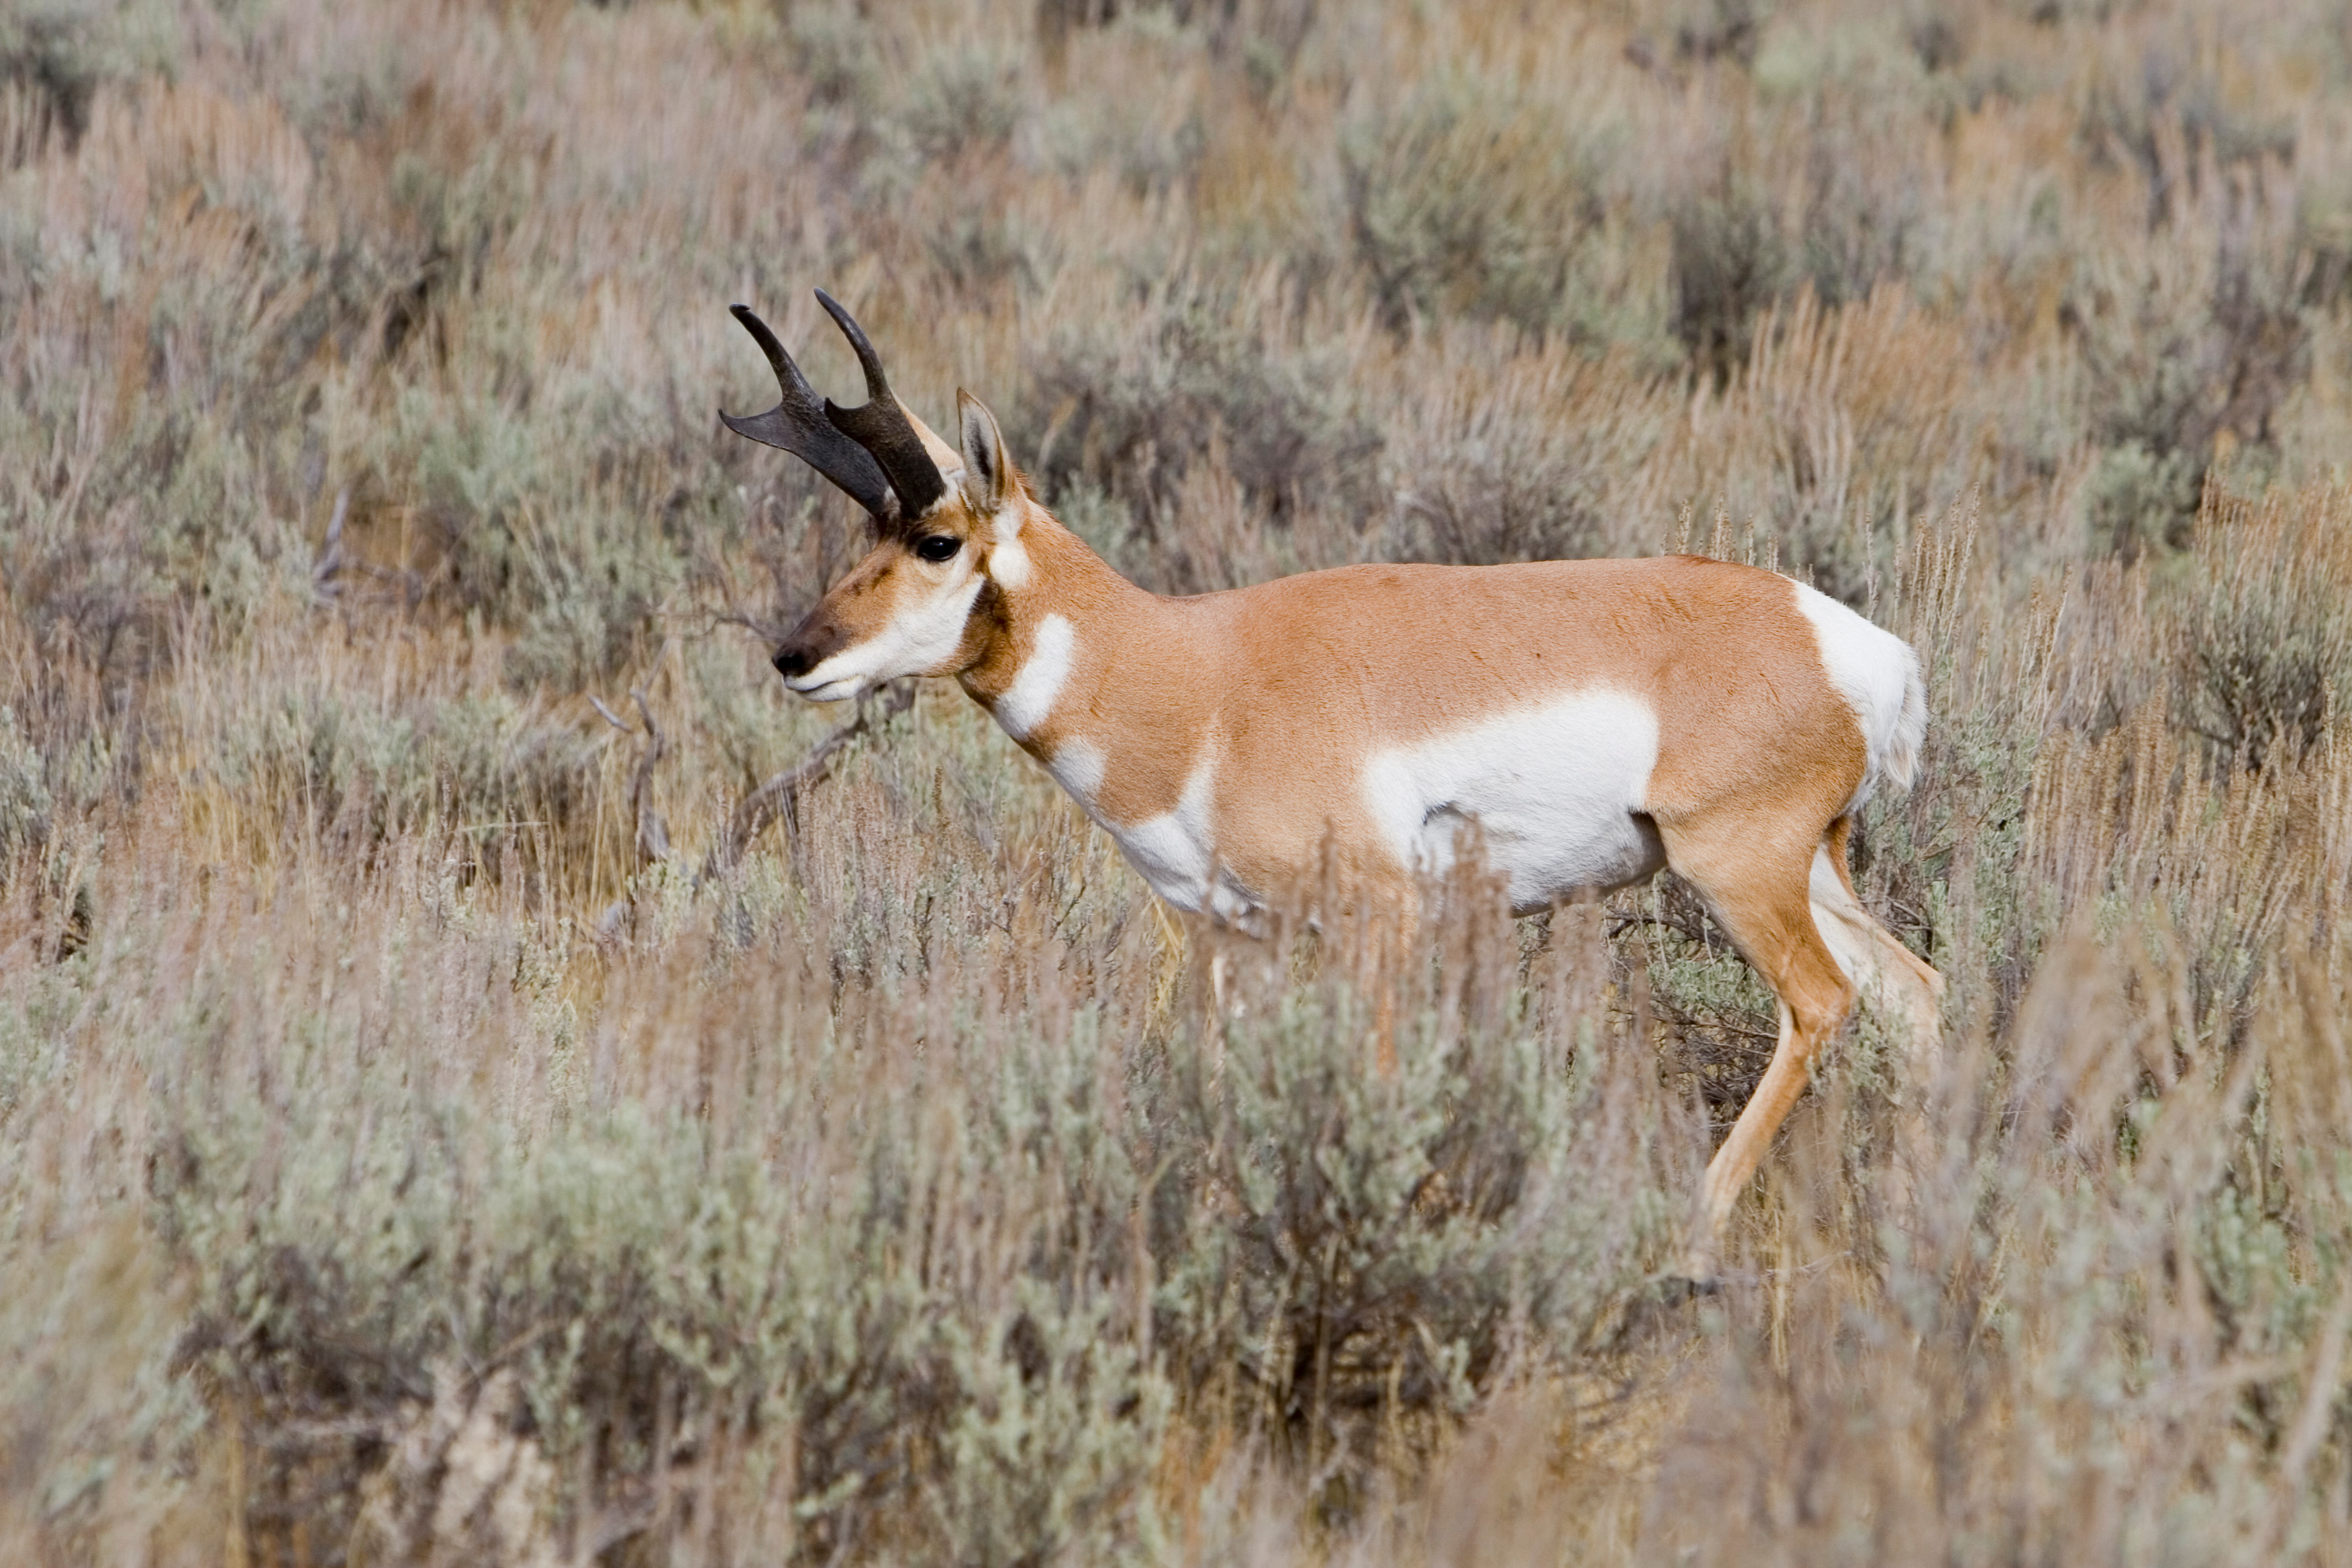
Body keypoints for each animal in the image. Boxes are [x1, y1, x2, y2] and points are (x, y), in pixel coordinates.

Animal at [720, 292, 1944, 1283]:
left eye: (936, 539)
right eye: (861, 530)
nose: (794, 655)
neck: (1194, 672)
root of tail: (1847, 641)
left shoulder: (1380, 921)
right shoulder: (1231, 938)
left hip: (1734, 870)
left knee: (1823, 1003)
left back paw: (1693, 1241)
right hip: (1810, 868)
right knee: (1914, 994)